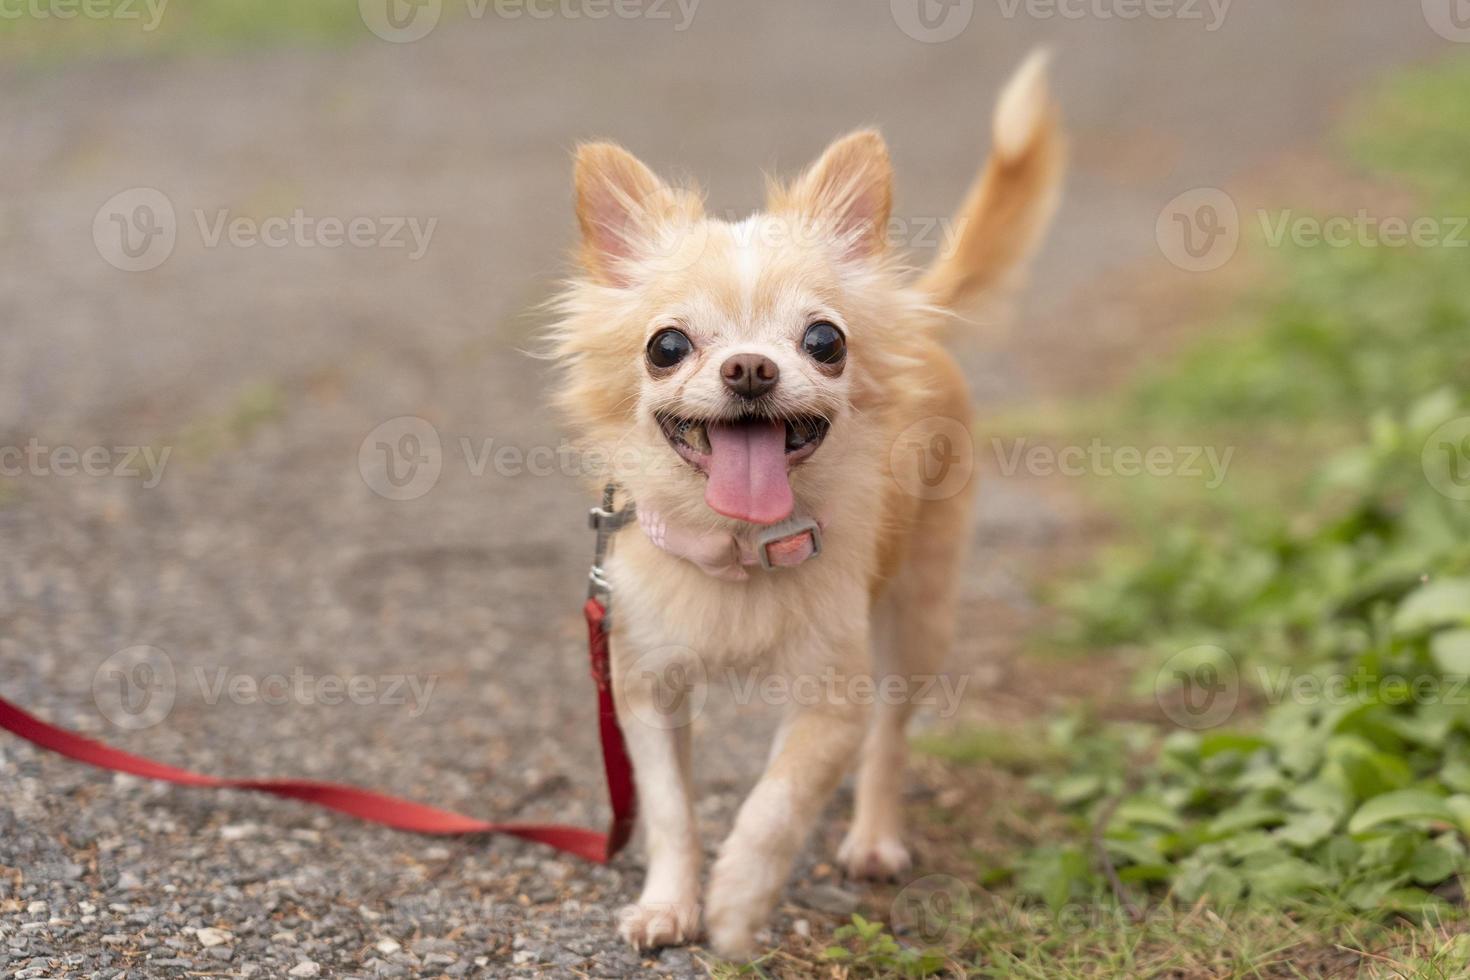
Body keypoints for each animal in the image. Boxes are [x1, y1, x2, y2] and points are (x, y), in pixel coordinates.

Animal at [546, 51, 1064, 957]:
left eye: (824, 342)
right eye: (667, 346)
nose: (751, 368)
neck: (734, 547)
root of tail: (918, 317)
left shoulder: (832, 702)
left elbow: (774, 804)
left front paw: (736, 905)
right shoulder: (644, 689)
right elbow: (671, 811)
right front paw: (668, 904)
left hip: (919, 618)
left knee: (891, 739)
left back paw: (873, 841)